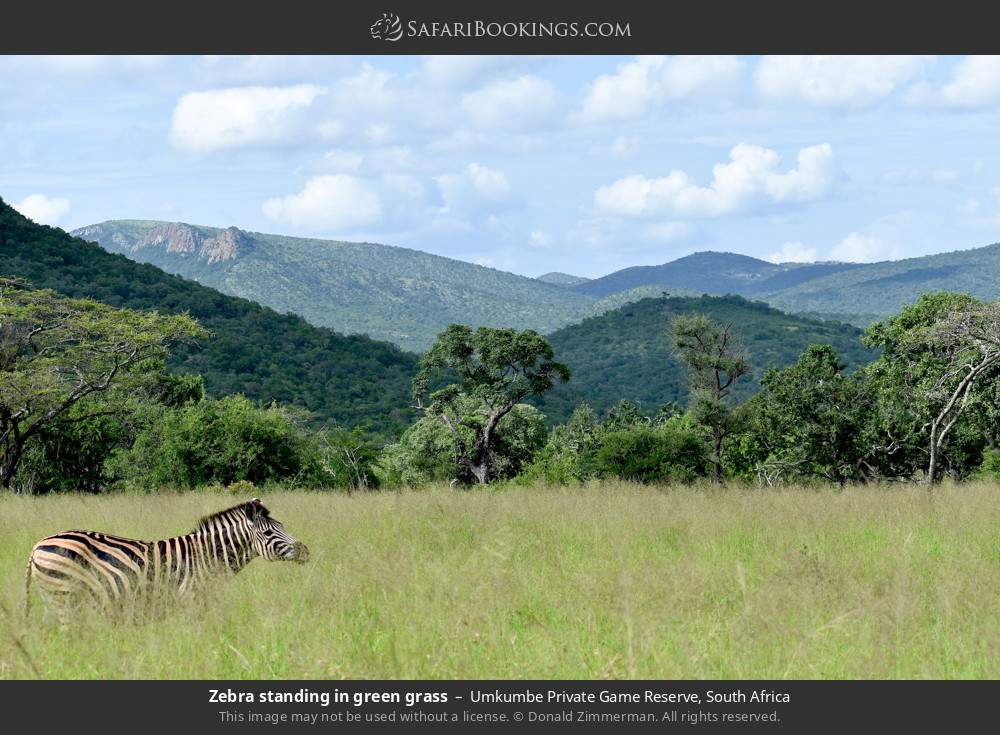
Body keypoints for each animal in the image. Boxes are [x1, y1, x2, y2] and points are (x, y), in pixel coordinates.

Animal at [25, 498, 309, 619]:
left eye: (282, 526)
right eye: (269, 532)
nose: (305, 551)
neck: (208, 556)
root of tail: (37, 545)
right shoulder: (191, 599)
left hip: (57, 597)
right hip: (63, 595)